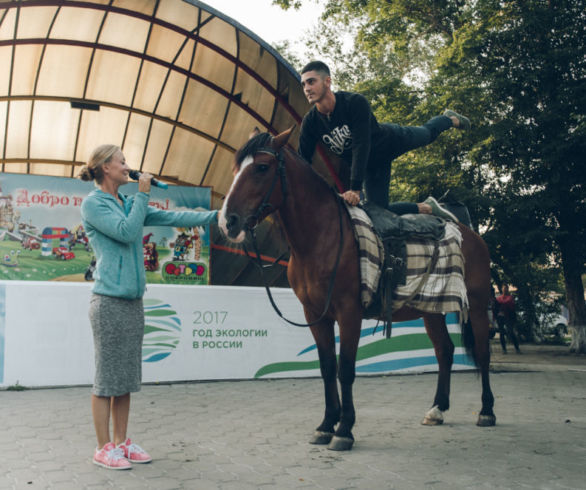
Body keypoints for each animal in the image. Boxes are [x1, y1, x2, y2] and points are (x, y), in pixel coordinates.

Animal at [218, 127, 492, 452]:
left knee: (483, 352)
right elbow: (327, 368)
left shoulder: (350, 313)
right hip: (431, 310)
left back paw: (486, 411)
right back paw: (437, 409)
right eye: (236, 169)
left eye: (261, 168)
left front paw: (345, 430)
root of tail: (471, 233)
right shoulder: (316, 315)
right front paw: (326, 425)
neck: (324, 236)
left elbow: (346, 368)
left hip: (478, 304)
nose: (228, 221)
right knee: (445, 351)